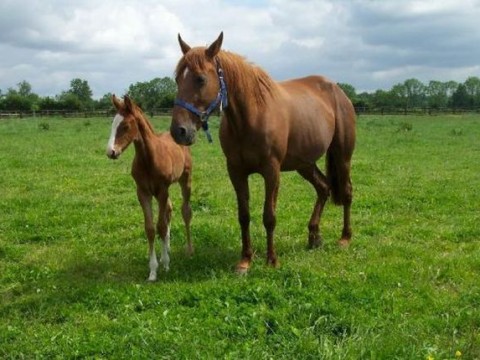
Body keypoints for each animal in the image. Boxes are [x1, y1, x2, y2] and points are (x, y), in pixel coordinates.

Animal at [107, 95, 193, 282]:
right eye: (112, 124)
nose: (110, 152)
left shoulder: (161, 190)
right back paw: (167, 249)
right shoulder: (143, 192)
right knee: (169, 210)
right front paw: (153, 270)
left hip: (185, 180)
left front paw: (166, 265)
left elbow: (160, 226)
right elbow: (151, 229)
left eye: (125, 126)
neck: (148, 158)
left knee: (185, 212)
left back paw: (189, 250)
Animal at [171, 32, 354, 272]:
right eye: (177, 79)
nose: (178, 131)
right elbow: (244, 216)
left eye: (200, 79)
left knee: (347, 191)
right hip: (304, 164)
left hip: (342, 156)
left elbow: (269, 216)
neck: (251, 117)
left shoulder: (271, 171)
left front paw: (272, 260)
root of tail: (338, 91)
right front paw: (245, 260)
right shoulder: (236, 171)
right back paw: (314, 237)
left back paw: (345, 238)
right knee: (323, 188)